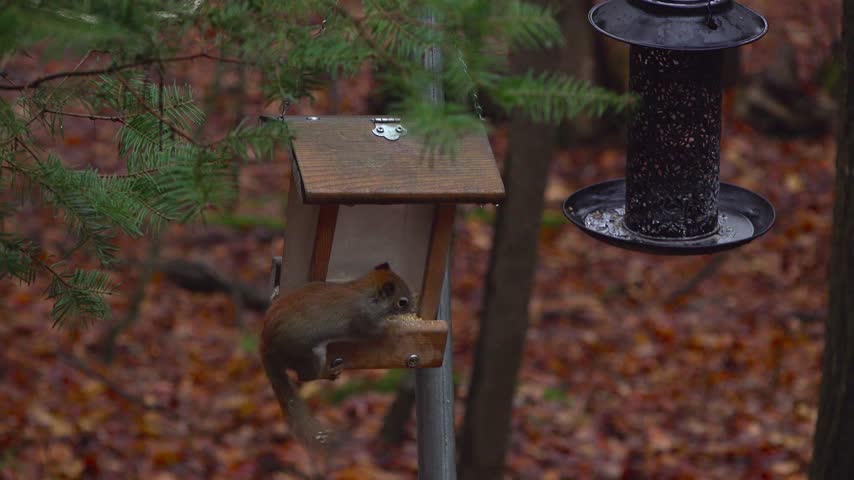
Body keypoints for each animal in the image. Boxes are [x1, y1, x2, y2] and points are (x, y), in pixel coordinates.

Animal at [259, 263, 415, 453]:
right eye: (402, 302)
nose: (413, 310)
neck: (365, 294)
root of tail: (267, 345)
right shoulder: (362, 320)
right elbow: (375, 332)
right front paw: (394, 327)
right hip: (308, 354)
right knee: (306, 376)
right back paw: (328, 372)